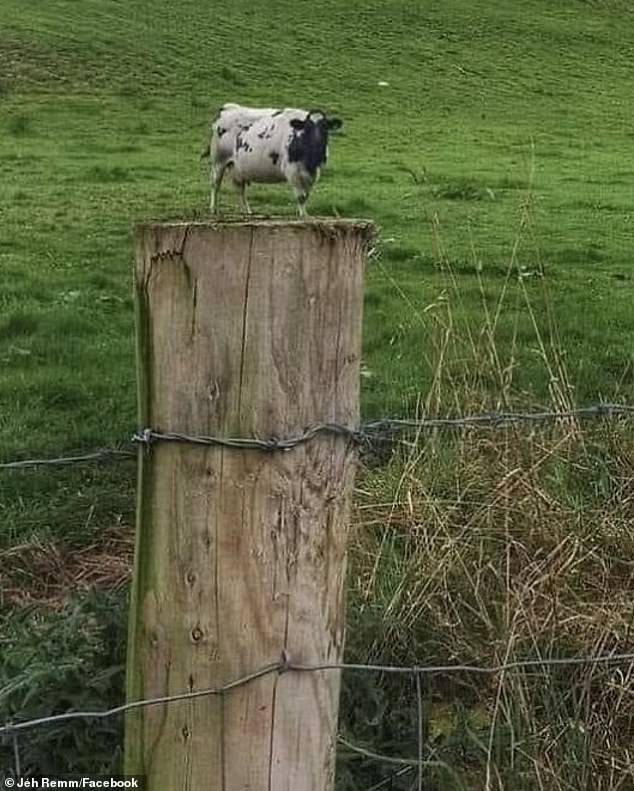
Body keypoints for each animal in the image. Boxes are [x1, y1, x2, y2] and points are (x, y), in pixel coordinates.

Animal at [201, 104, 340, 220]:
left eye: (325, 127)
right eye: (308, 128)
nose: (317, 143)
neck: (310, 160)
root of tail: (228, 107)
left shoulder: (313, 172)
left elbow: (306, 195)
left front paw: (305, 214)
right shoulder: (292, 170)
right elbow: (300, 196)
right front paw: (302, 215)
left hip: (237, 167)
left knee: (240, 189)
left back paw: (246, 211)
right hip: (218, 161)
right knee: (215, 184)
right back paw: (214, 209)